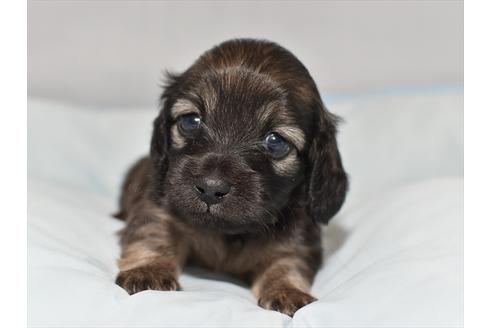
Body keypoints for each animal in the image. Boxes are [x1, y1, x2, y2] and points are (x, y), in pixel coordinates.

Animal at [115, 39, 348, 318]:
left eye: (276, 141)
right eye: (191, 121)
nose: (210, 189)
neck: (229, 233)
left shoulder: (298, 238)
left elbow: (287, 263)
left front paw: (288, 290)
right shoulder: (158, 207)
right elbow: (153, 235)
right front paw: (147, 270)